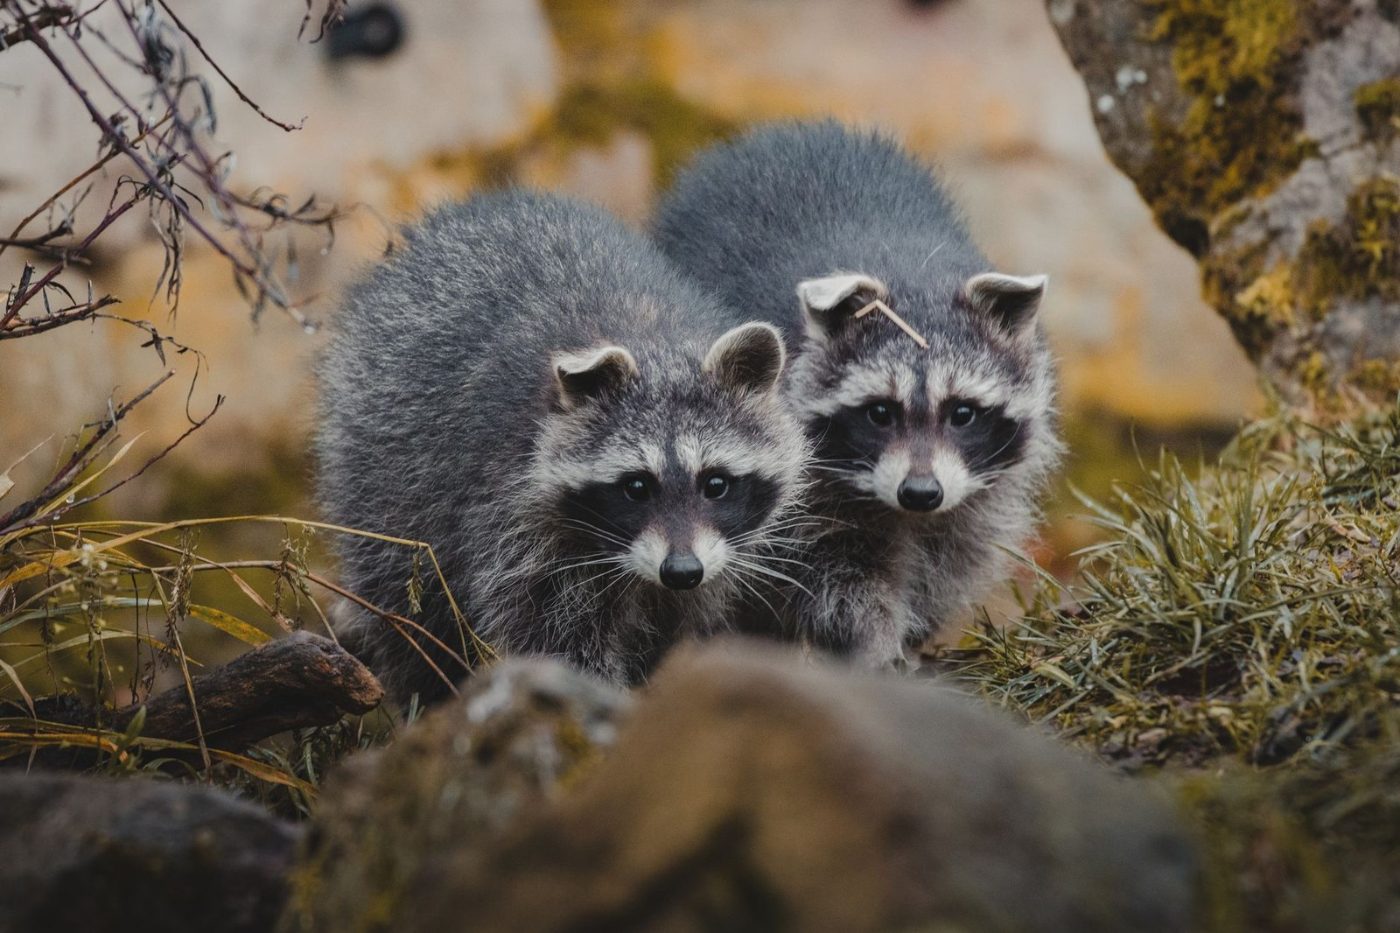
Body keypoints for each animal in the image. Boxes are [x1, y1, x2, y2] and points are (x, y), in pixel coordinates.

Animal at [316, 191, 808, 704]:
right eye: (636, 486)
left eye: (715, 483)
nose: (680, 570)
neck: (654, 342)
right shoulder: (513, 513)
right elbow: (554, 636)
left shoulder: (717, 557)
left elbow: (682, 624)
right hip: (384, 459)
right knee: (407, 601)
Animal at [652, 122, 1062, 666]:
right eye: (880, 413)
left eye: (963, 413)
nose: (920, 492)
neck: (912, 273)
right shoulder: (801, 488)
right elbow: (833, 575)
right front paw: (873, 639)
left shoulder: (978, 488)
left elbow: (953, 555)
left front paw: (914, 630)